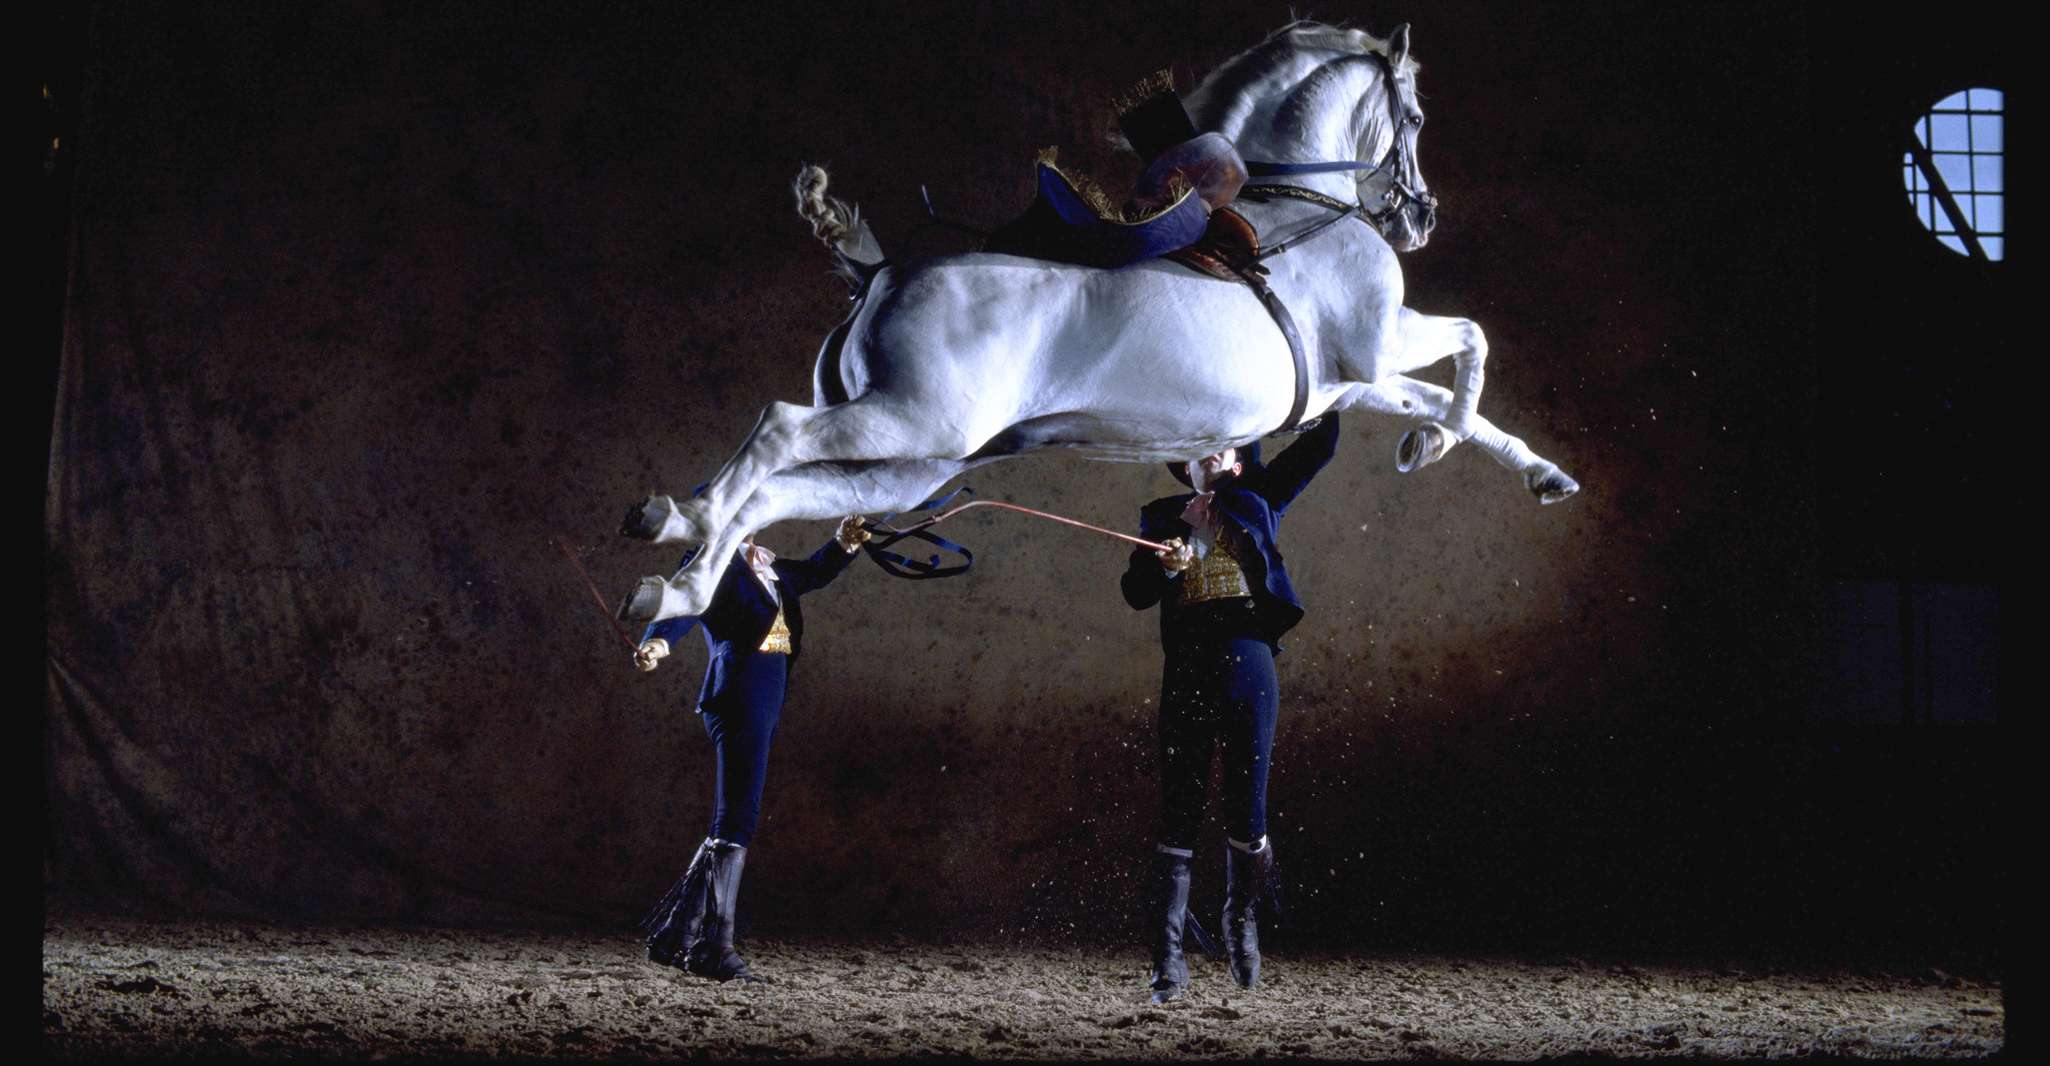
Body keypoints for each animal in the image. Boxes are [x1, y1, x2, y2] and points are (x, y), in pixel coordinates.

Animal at [623, 20, 1582, 623]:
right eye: (1413, 115)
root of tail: (879, 272)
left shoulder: (1345, 383)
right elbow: (1472, 343)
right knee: (776, 433)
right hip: (909, 421)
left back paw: (674, 588)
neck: (1296, 205)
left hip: (909, 468)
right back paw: (681, 519)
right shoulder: (1383, 342)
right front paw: (1435, 444)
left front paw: (1528, 469)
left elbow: (1443, 397)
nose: (1420, 217)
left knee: (780, 493)